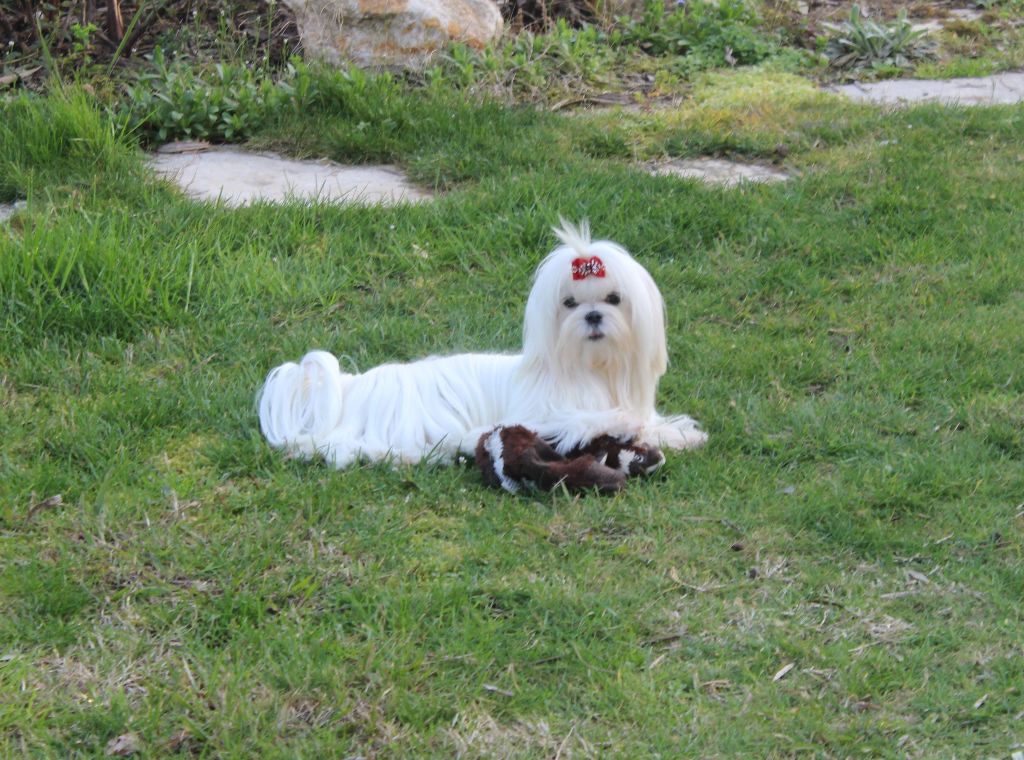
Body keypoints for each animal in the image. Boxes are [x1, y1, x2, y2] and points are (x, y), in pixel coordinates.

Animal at [257, 220, 706, 469]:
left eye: (614, 299)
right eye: (569, 303)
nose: (593, 316)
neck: (591, 369)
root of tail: (354, 386)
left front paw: (679, 435)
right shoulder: (542, 417)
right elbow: (586, 423)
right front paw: (620, 425)